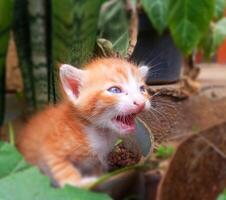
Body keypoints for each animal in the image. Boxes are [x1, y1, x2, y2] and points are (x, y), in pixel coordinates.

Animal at [15, 57, 150, 188]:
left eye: (142, 89)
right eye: (115, 90)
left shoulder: (98, 159)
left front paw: (99, 177)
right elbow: (63, 169)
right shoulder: (50, 147)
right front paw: (80, 183)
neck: (98, 131)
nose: (141, 102)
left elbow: (98, 170)